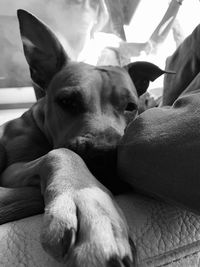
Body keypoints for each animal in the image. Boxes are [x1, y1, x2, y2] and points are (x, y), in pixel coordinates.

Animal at [0, 9, 170, 266]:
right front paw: (91, 203)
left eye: (131, 106)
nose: (105, 155)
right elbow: (61, 153)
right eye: (67, 101)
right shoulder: (11, 170)